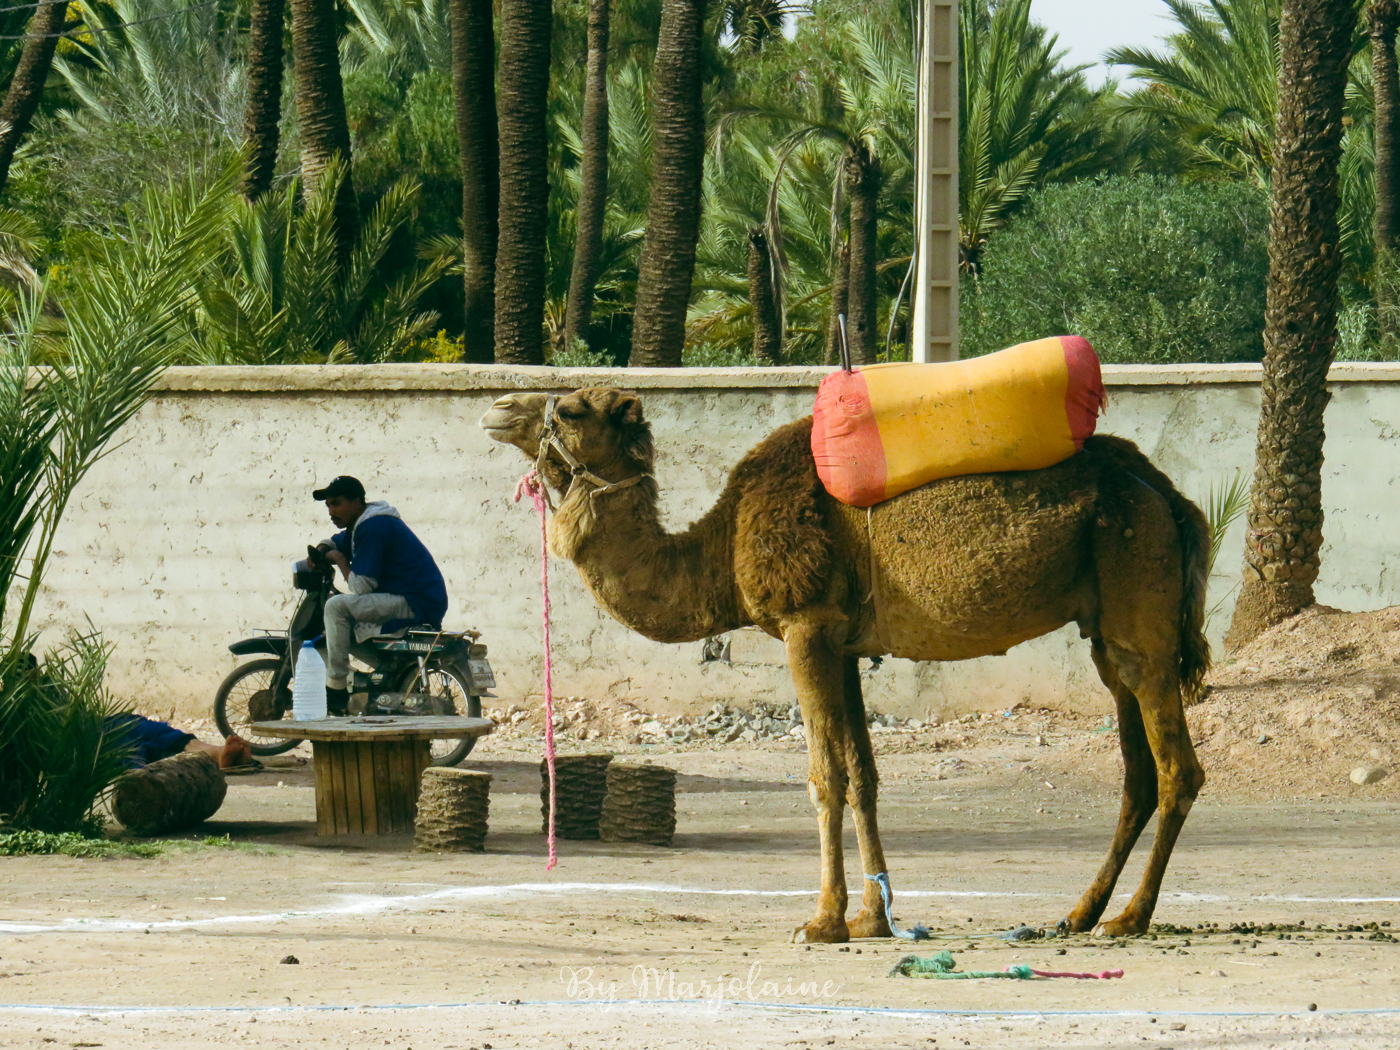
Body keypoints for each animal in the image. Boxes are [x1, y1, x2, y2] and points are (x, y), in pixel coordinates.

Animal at [478, 389, 1204, 946]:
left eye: (571, 409)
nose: (499, 407)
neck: (723, 547)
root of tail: (1170, 496)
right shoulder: (846, 645)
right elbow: (864, 776)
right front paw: (871, 919)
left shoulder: (807, 625)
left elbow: (825, 776)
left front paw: (822, 922)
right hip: (1106, 627)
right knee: (1137, 769)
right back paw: (1080, 913)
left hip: (1137, 585)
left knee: (1177, 768)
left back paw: (1130, 919)